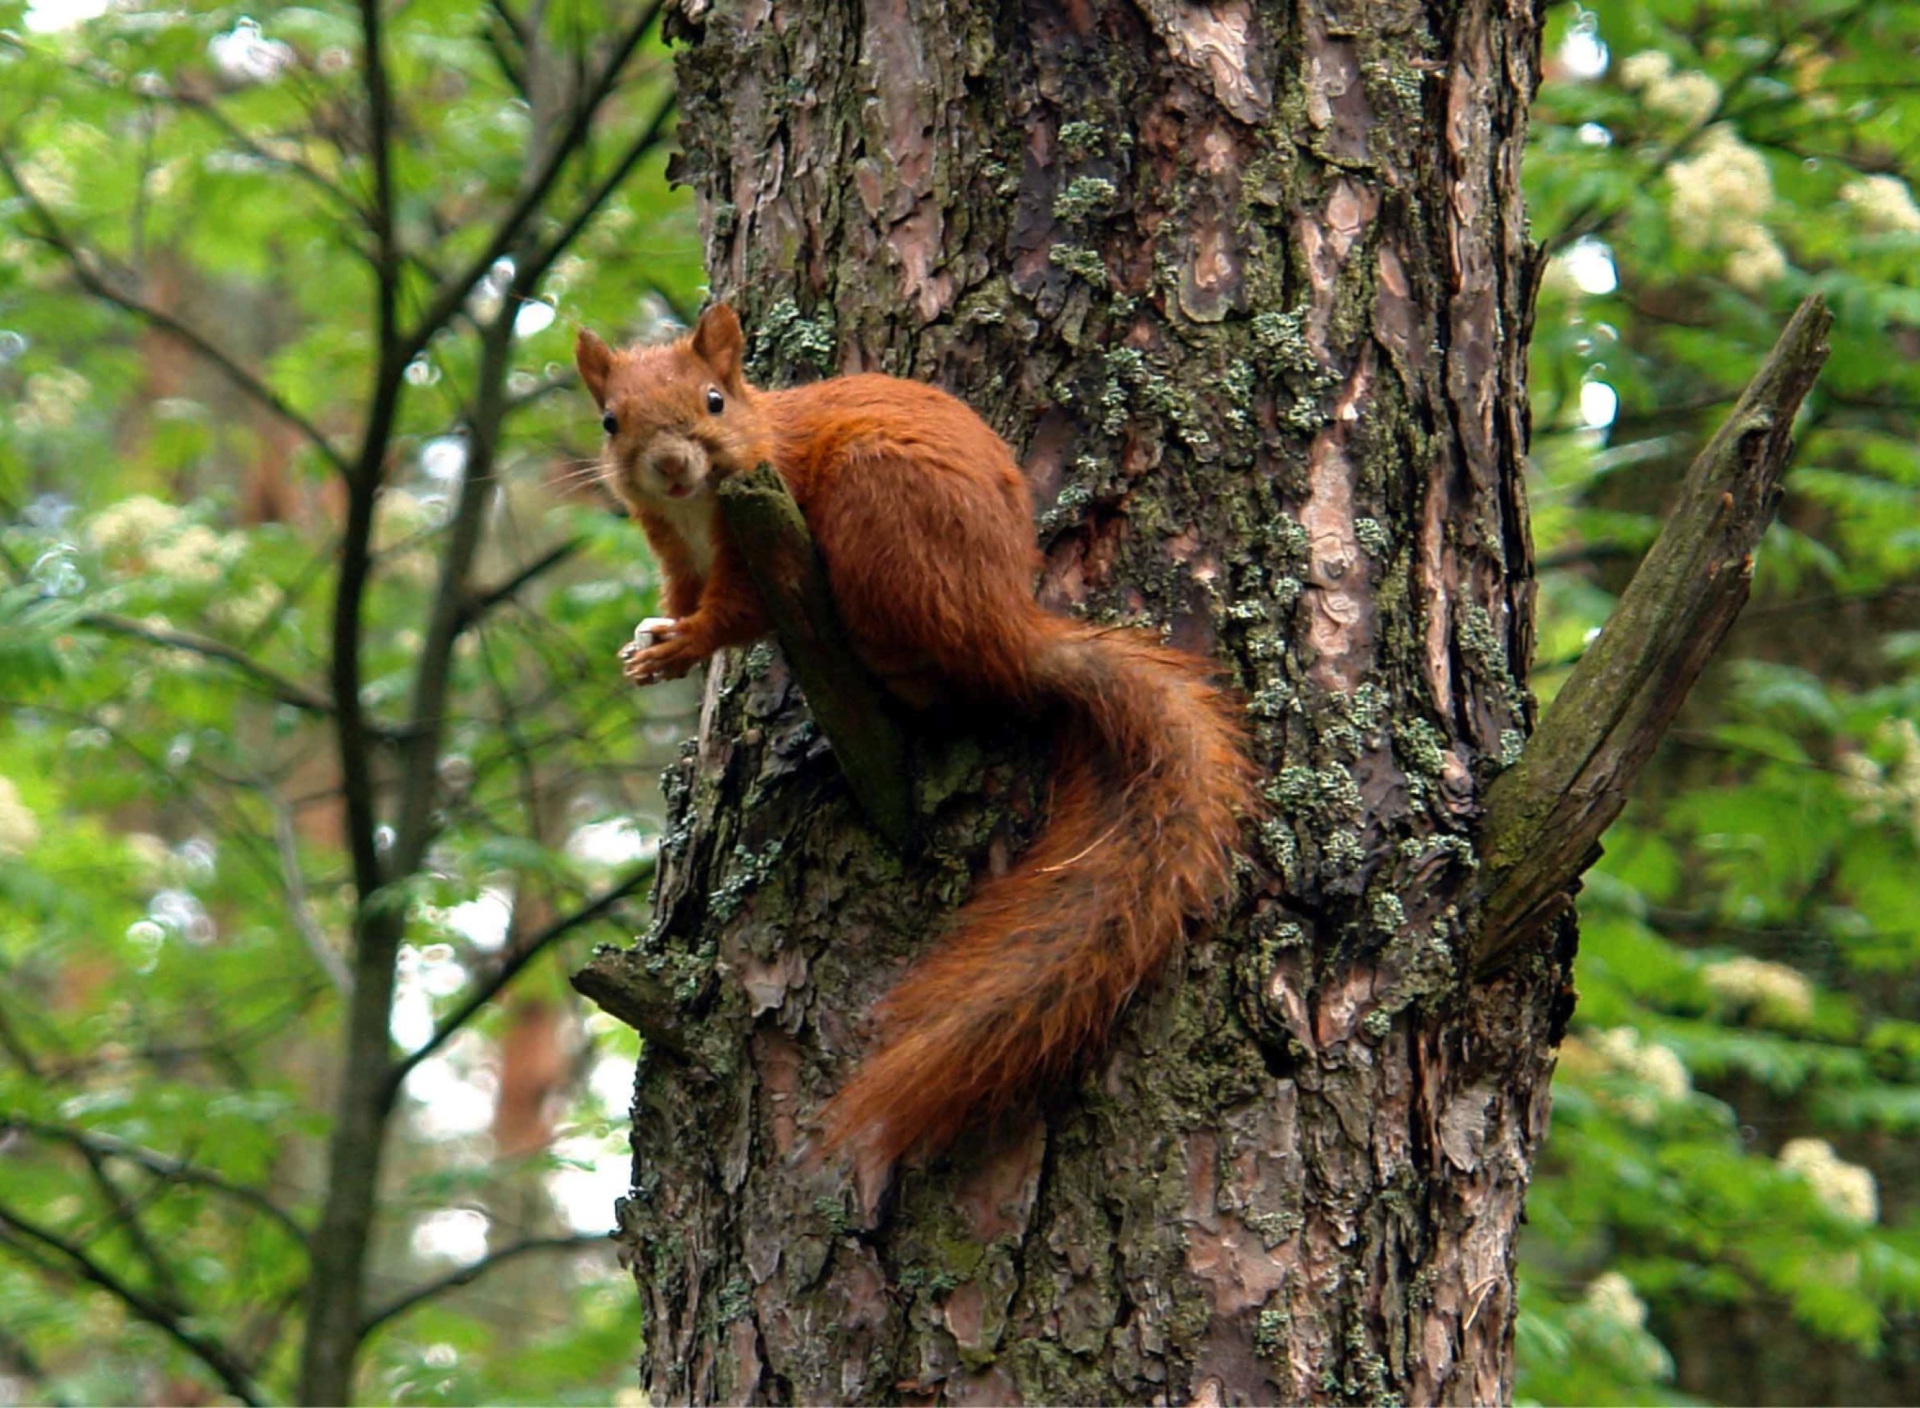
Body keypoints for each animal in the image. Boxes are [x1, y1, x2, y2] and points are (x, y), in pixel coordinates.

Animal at [568, 305, 1259, 1167]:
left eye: (714, 400)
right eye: (610, 419)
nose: (668, 465)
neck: (698, 508)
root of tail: (1011, 630)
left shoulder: (759, 532)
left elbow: (733, 615)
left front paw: (679, 646)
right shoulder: (674, 550)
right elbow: (681, 599)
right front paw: (652, 647)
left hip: (880, 511)